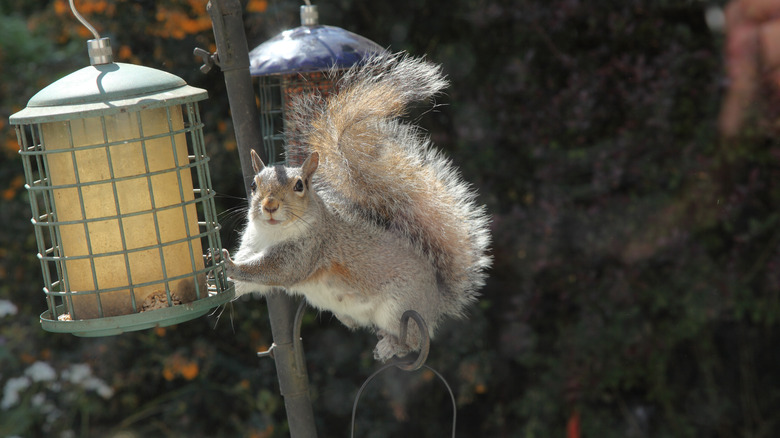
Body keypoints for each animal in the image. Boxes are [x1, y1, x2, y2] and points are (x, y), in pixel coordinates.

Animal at [222, 51, 490, 362]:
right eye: (253, 185)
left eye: (300, 186)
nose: (269, 206)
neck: (271, 233)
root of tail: (436, 300)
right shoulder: (252, 244)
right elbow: (248, 281)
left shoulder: (311, 248)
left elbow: (276, 270)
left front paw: (230, 266)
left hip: (399, 308)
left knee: (413, 341)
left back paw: (391, 346)